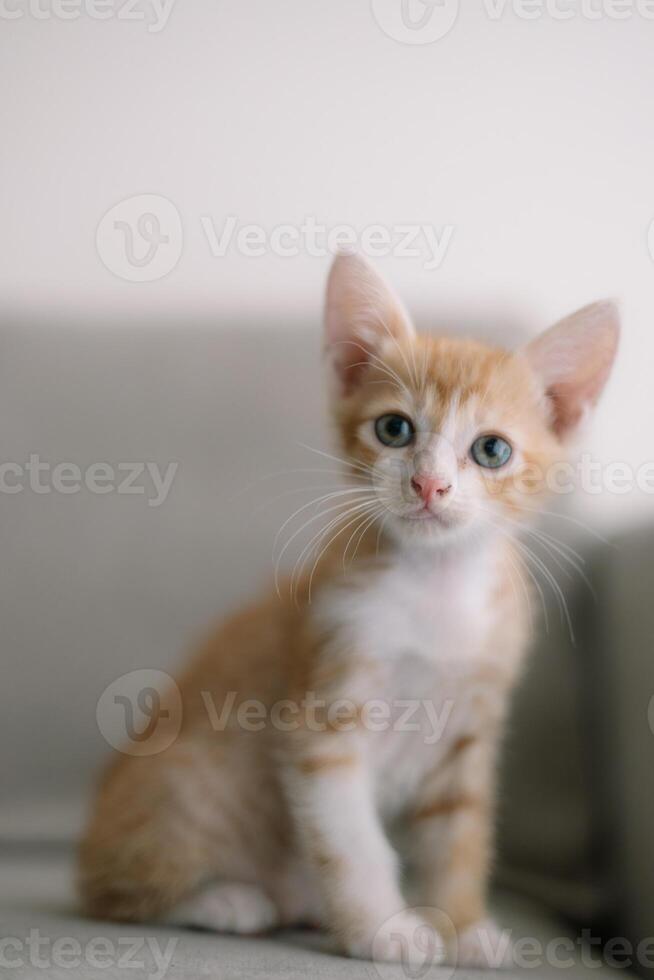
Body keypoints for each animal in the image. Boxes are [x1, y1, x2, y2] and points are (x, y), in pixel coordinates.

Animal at [78, 256, 620, 968]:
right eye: (394, 429)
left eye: (492, 450)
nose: (429, 485)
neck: (434, 589)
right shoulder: (324, 716)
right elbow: (354, 843)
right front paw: (385, 930)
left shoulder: (469, 730)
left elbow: (459, 836)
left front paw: (462, 926)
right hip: (184, 783)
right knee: (112, 895)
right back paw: (228, 900)